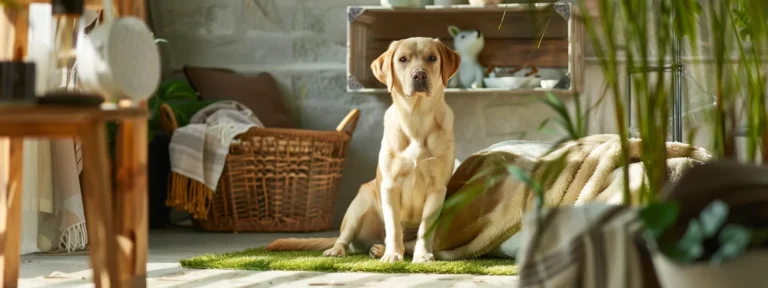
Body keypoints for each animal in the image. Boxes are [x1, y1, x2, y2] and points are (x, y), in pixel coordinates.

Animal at [268, 37, 460, 264]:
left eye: (432, 58)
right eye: (403, 59)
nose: (419, 75)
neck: (417, 118)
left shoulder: (437, 189)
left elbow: (425, 229)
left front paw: (422, 256)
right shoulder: (389, 186)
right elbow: (394, 227)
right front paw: (392, 255)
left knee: (403, 242)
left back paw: (381, 249)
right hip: (359, 205)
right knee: (344, 238)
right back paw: (340, 250)